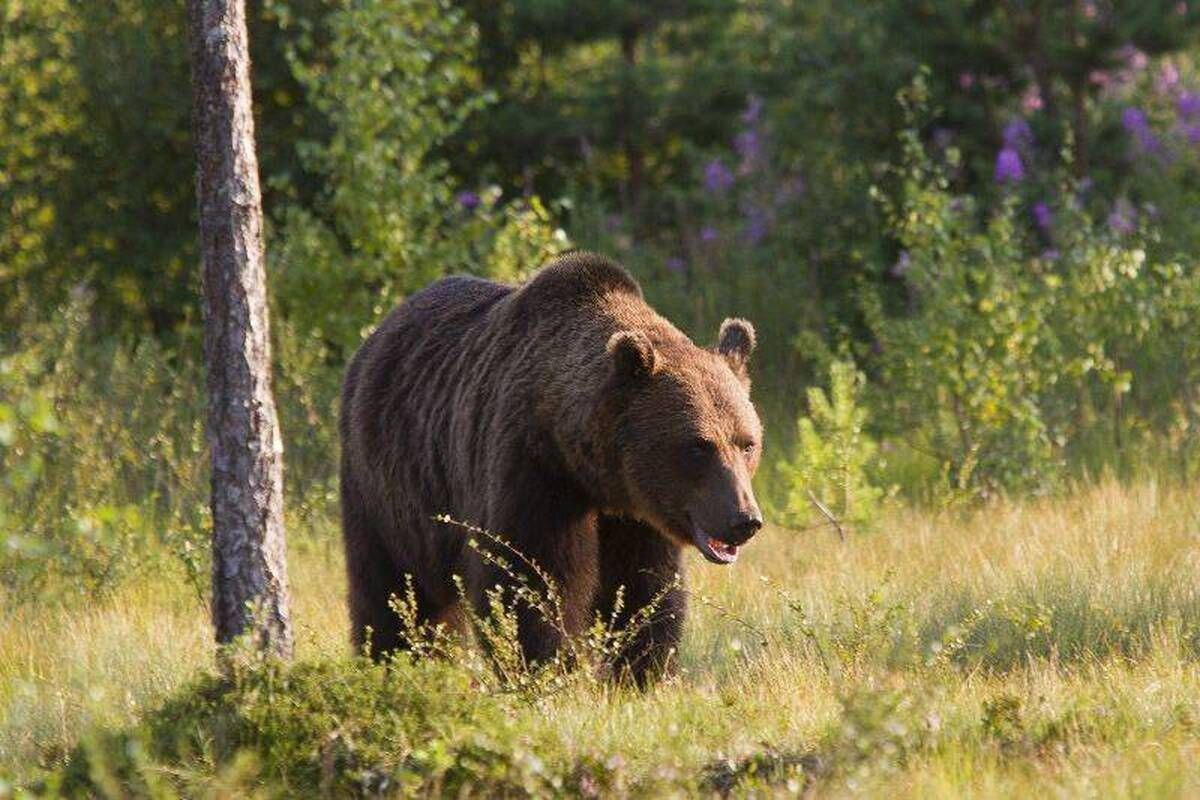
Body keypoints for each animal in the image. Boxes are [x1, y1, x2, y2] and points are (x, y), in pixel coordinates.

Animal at [343, 250, 763, 681]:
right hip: (388, 486)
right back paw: (391, 660)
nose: (743, 519)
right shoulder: (533, 472)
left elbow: (644, 586)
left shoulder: (637, 515)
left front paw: (644, 670)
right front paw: (549, 669)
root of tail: (377, 334)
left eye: (747, 443)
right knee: (390, 586)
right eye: (698, 447)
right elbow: (531, 581)